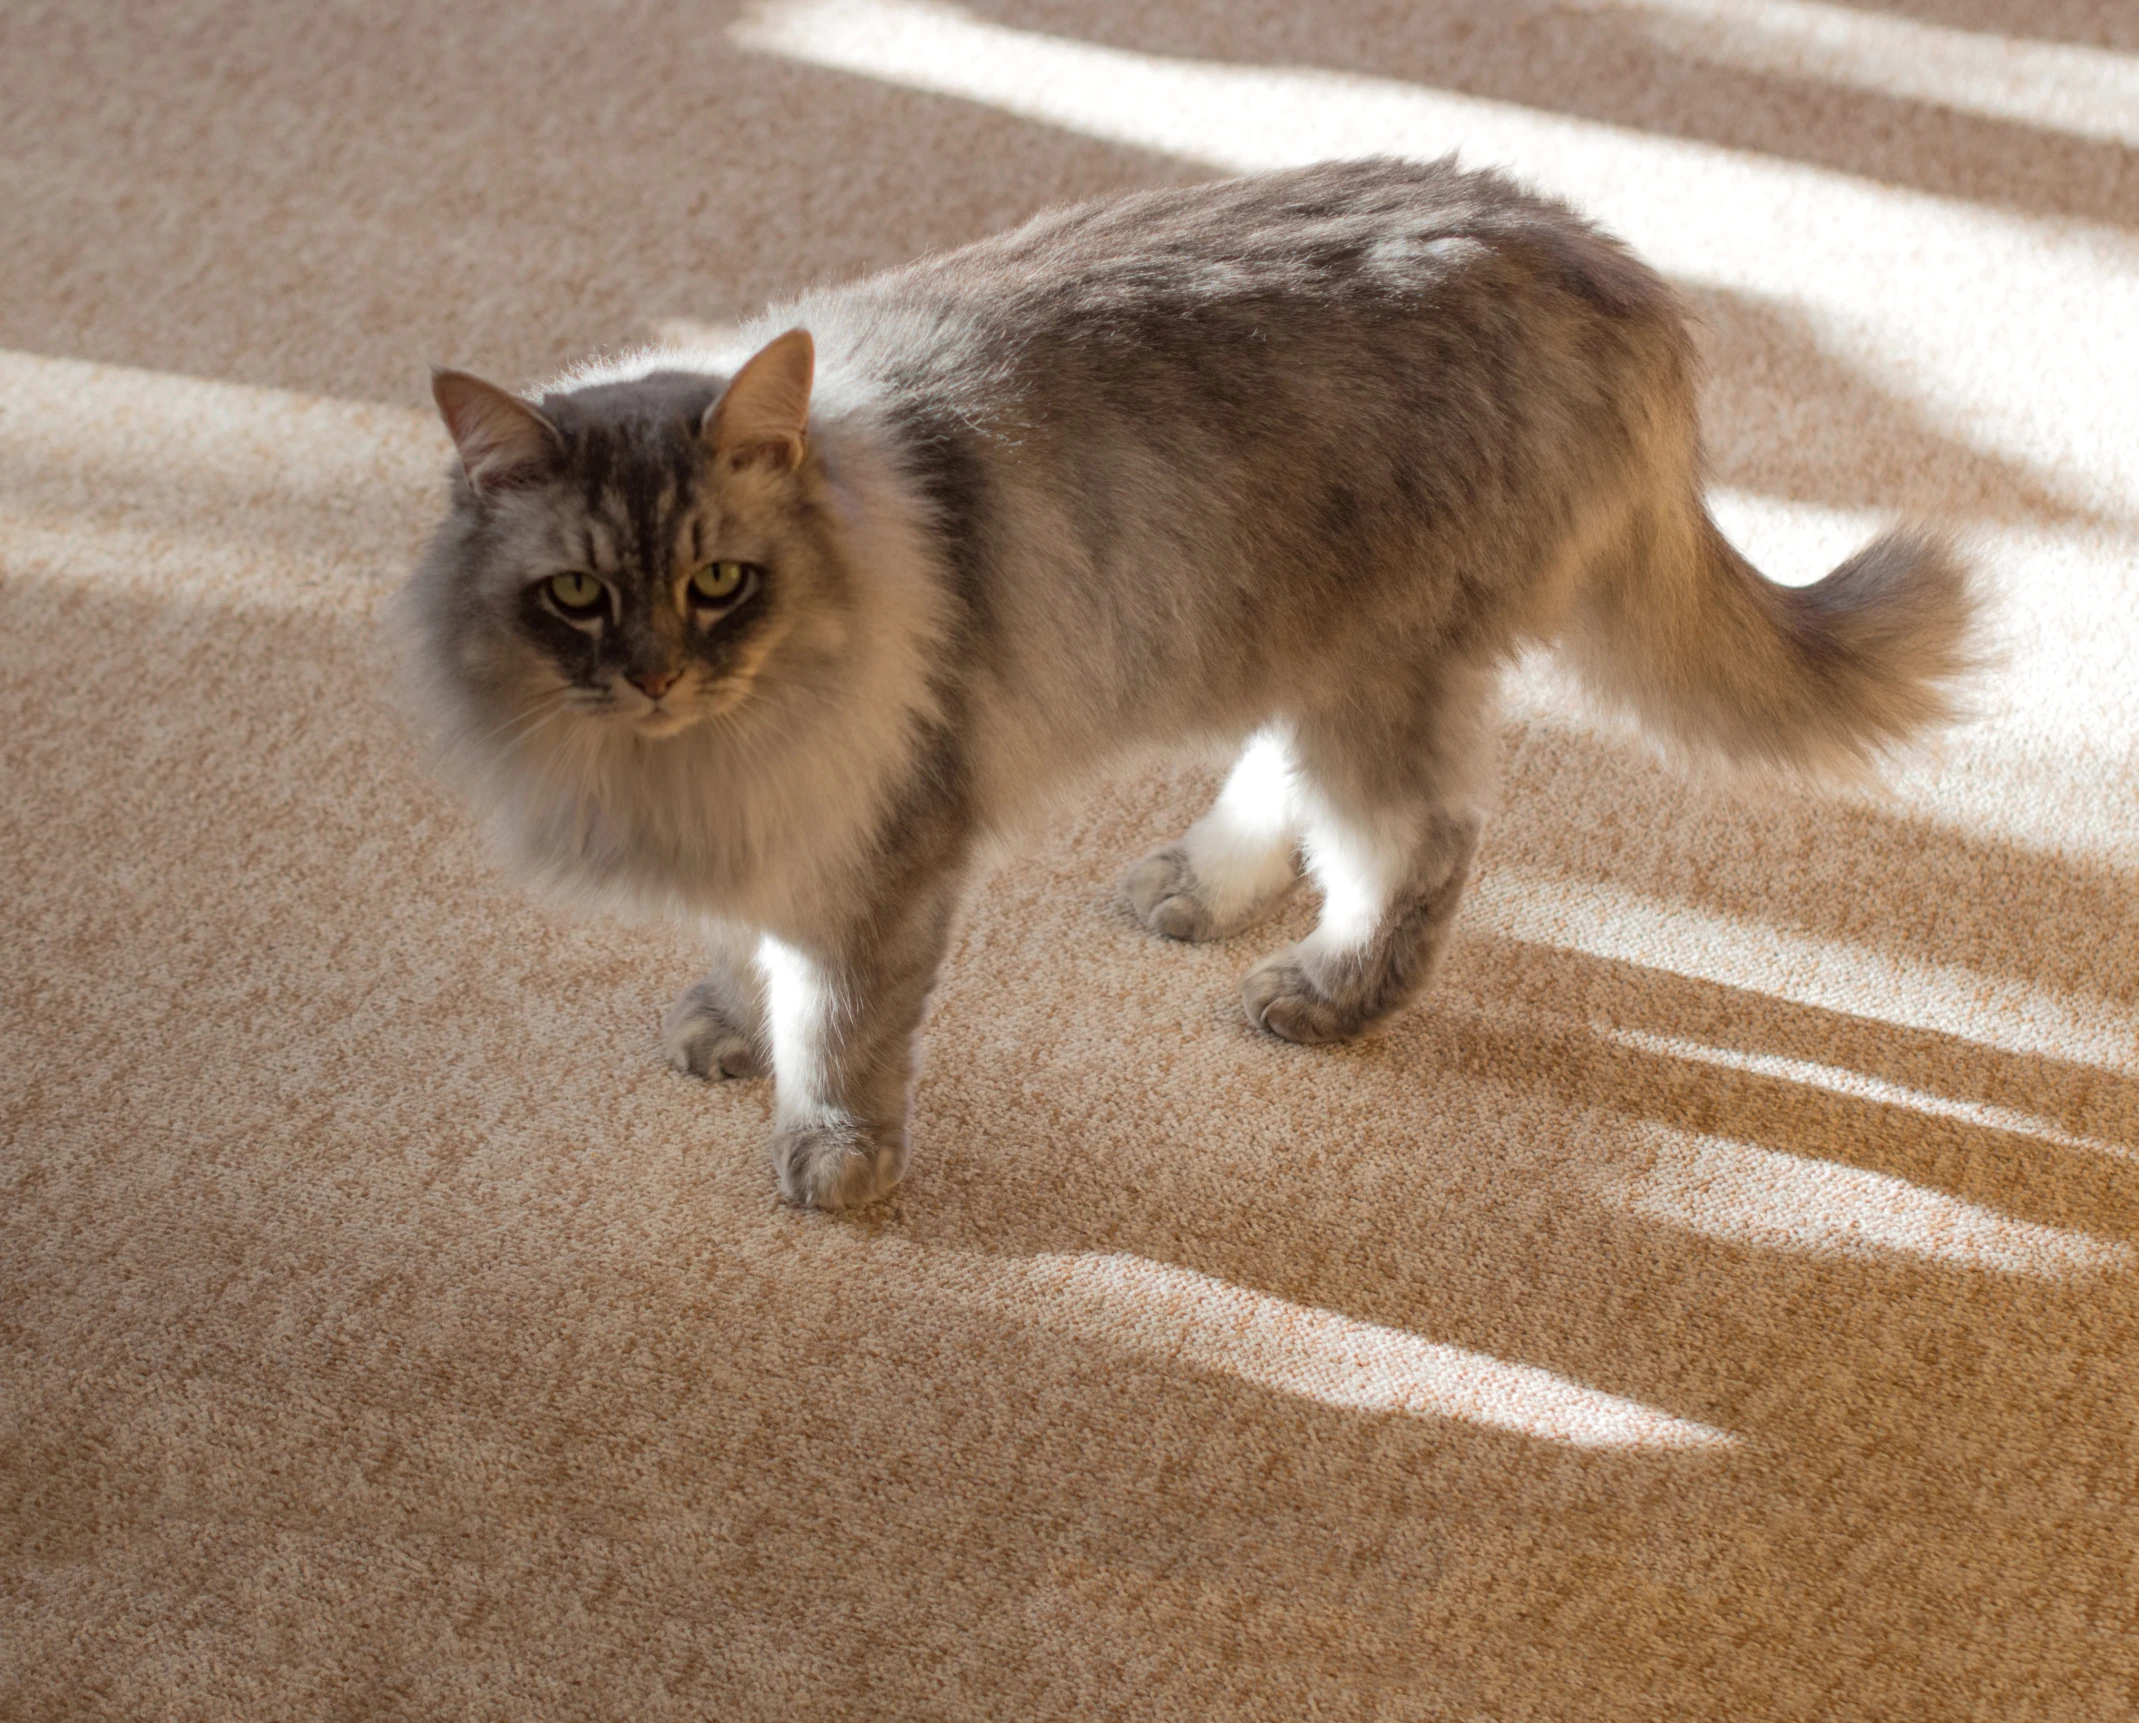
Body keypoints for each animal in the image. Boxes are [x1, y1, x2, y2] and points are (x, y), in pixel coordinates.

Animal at [397, 158, 1967, 1214]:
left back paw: (1322, 993)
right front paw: (728, 1023)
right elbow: (751, 953)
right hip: (1302, 645)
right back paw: (1195, 890)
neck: (702, 755)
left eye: (719, 582)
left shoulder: (885, 838)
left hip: (1379, 671)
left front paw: (831, 1154)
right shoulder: (781, 817)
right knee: (1294, 792)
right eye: (581, 597)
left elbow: (842, 1027)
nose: (659, 675)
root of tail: (1587, 249)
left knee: (1418, 844)